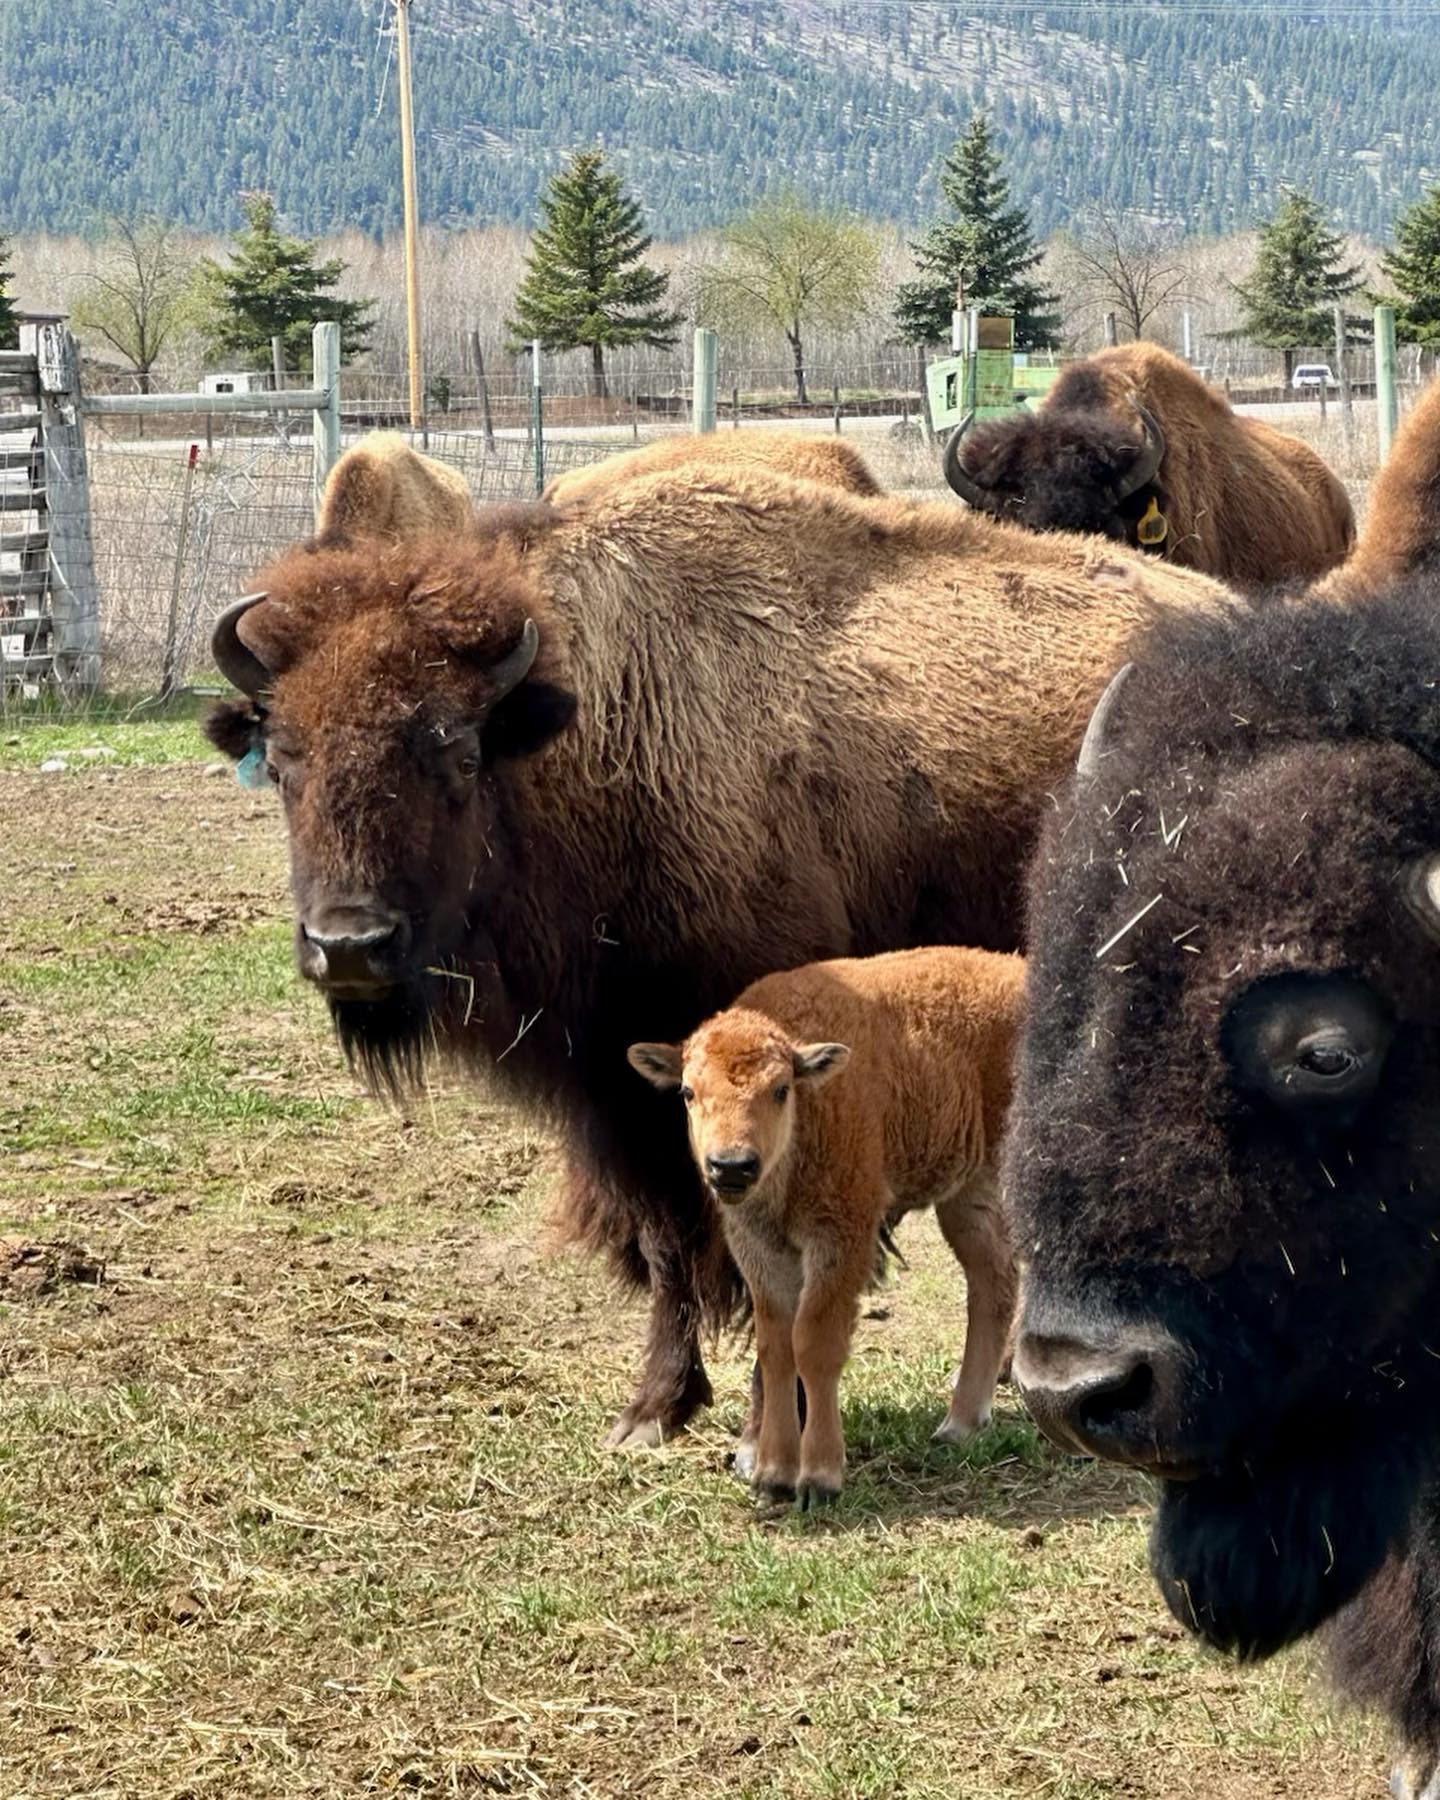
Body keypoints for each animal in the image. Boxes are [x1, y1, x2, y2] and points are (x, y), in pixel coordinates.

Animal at [207, 450, 1231, 1447]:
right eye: (284, 758)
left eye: (455, 750)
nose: (349, 946)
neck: (585, 730)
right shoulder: (627, 1092)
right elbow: (672, 1244)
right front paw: (656, 1409)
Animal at [630, 950, 1022, 1512]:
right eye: (688, 1091)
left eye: (780, 1089)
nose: (731, 1167)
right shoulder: (760, 1250)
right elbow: (776, 1346)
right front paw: (772, 1476)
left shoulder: (841, 1237)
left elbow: (815, 1341)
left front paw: (819, 1478)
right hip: (967, 1192)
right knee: (993, 1281)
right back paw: (961, 1424)